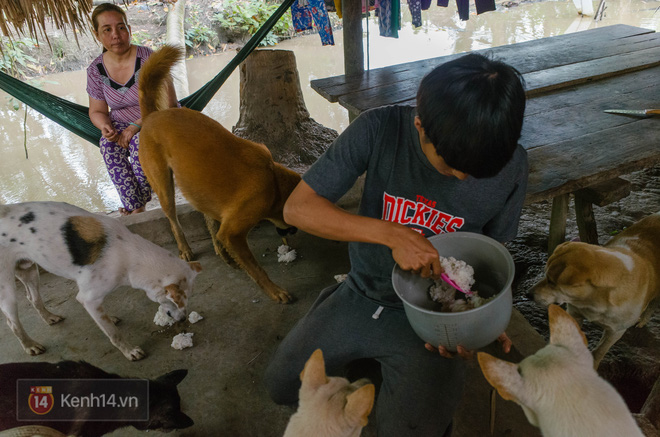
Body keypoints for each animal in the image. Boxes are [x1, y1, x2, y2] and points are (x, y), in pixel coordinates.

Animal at [0, 201, 201, 362]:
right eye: (176, 302)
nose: (183, 319)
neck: (131, 255)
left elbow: (105, 318)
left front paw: (110, 318)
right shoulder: (88, 299)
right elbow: (113, 333)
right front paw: (130, 351)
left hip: (30, 271)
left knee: (33, 299)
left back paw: (49, 317)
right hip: (7, 290)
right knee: (12, 323)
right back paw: (30, 345)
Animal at [142, 45, 304, 304]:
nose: (294, 231)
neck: (275, 182)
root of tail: (151, 117)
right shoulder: (235, 231)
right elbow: (255, 268)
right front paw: (274, 291)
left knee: (205, 216)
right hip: (164, 186)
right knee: (173, 219)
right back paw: (185, 248)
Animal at [528, 213, 660, 366]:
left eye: (551, 281)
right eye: (545, 275)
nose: (528, 294)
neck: (593, 301)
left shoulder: (615, 332)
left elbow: (599, 352)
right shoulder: (574, 313)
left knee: (654, 304)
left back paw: (643, 320)